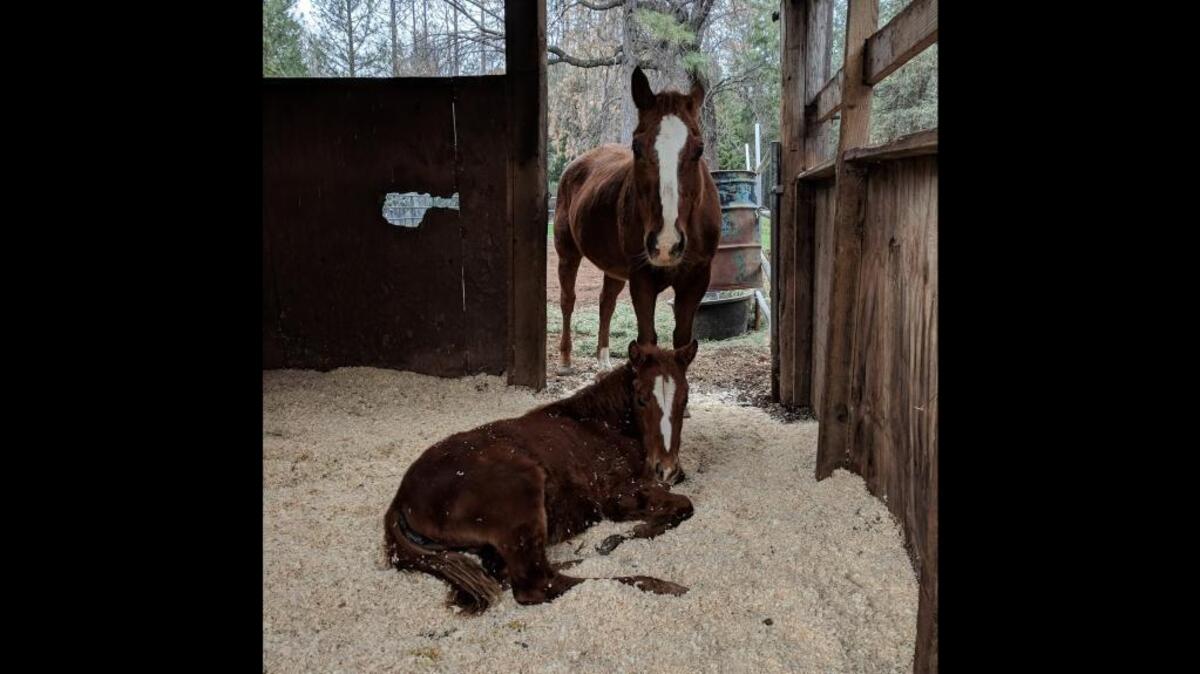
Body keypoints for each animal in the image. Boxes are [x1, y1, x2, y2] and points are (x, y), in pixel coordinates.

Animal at [384, 340, 697, 613]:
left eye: (685, 400)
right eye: (642, 399)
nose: (665, 468)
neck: (601, 424)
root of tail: (400, 501)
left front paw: (621, 537)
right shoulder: (616, 496)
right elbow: (684, 504)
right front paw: (629, 534)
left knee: (505, 571)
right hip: (522, 494)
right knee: (537, 585)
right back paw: (659, 584)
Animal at [553, 67, 722, 376]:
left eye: (699, 149)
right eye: (636, 146)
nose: (666, 244)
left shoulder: (696, 278)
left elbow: (682, 341)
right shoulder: (641, 277)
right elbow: (647, 340)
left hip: (614, 268)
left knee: (606, 302)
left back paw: (603, 360)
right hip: (567, 253)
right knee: (567, 300)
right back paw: (565, 360)